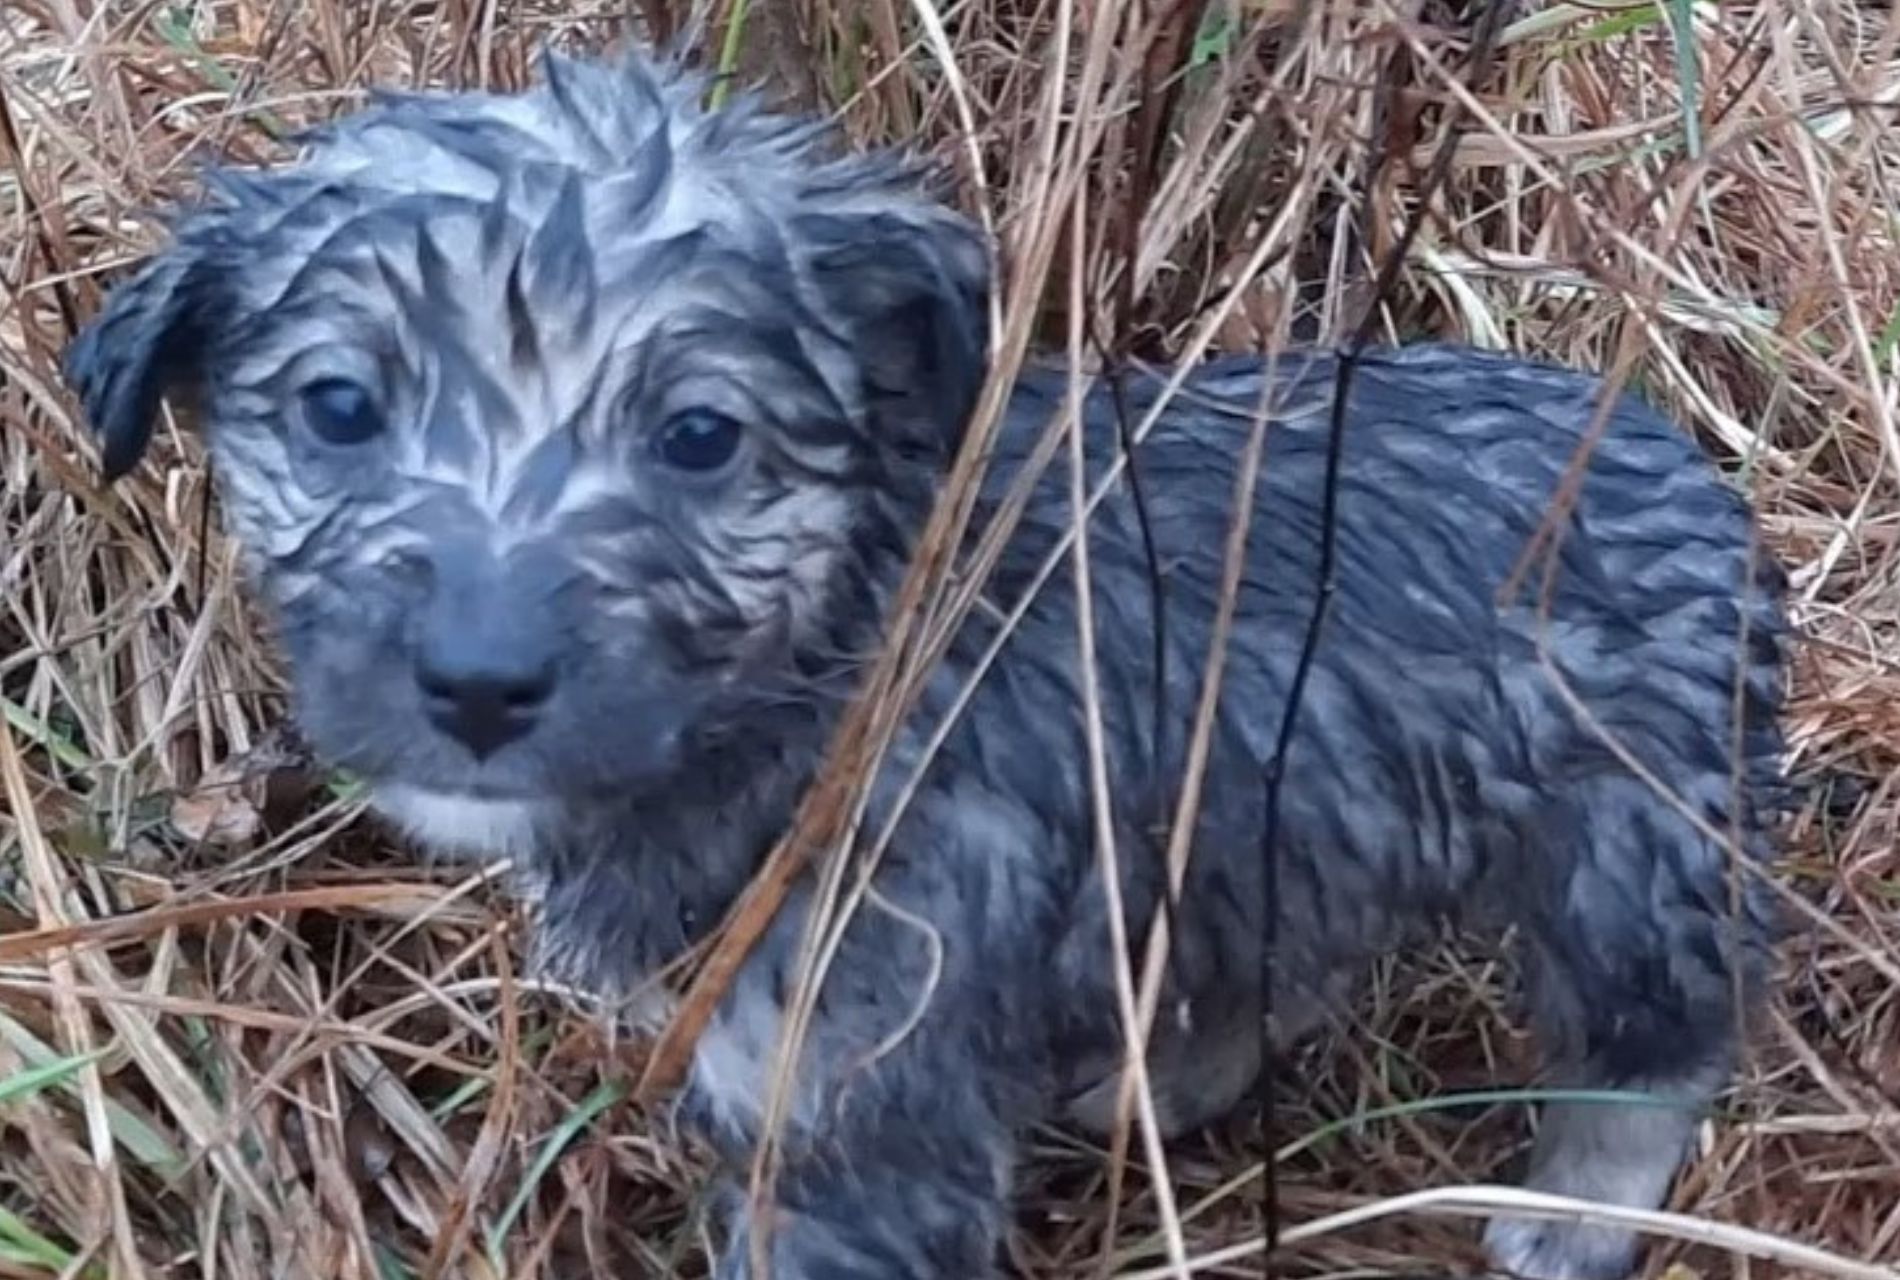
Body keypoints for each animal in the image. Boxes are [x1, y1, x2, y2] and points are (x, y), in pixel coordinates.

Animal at [66, 44, 1786, 1276]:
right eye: (339, 410)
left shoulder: (854, 1111)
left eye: (701, 437)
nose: (479, 685)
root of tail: (1682, 459)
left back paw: (1575, 1214)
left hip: (1631, 855)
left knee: (1659, 1043)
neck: (833, 672)